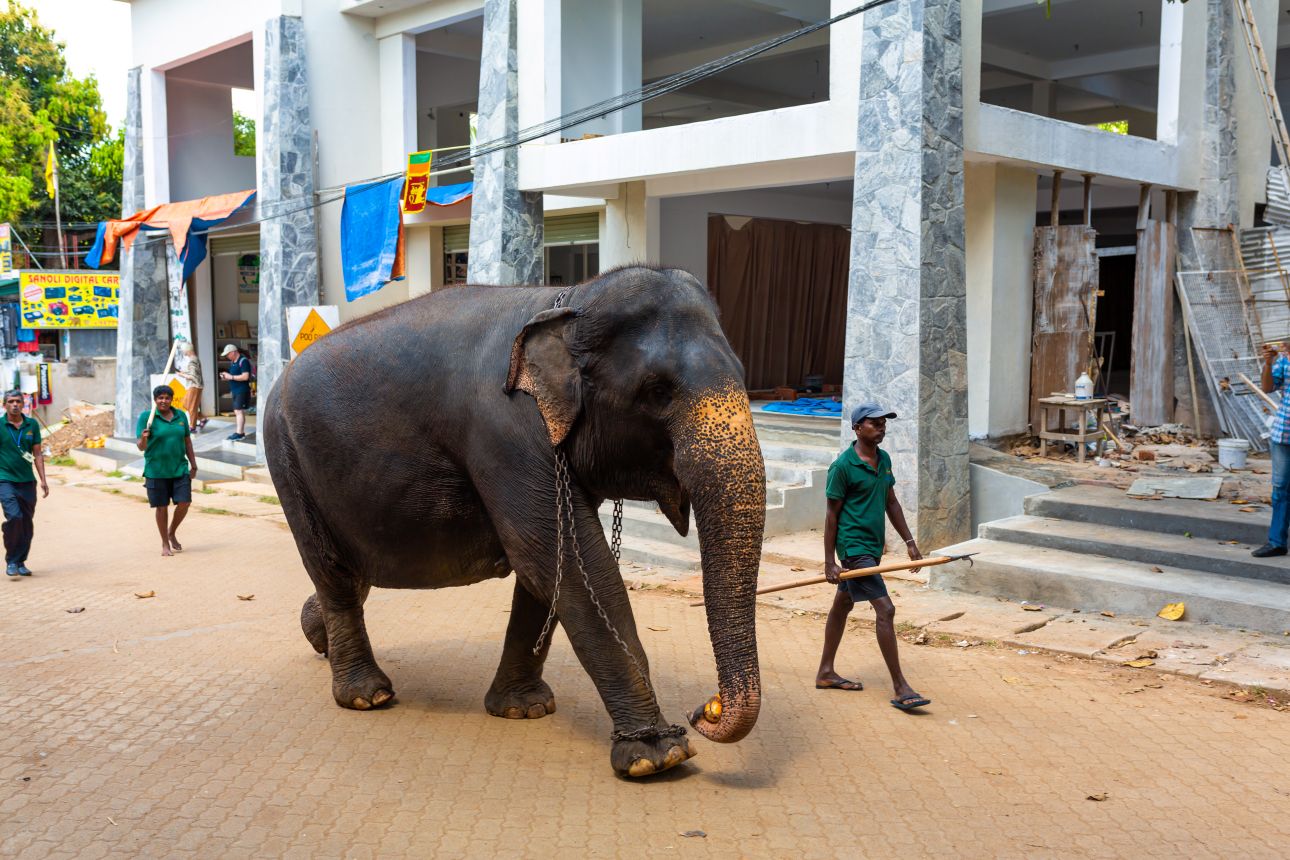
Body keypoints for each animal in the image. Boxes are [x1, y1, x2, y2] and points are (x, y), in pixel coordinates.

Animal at [262, 265, 766, 778]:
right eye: (658, 391)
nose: (704, 710)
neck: (568, 300)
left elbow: (550, 570)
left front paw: (524, 709)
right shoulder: (507, 429)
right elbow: (562, 560)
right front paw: (658, 756)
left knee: (351, 573)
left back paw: (319, 640)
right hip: (286, 459)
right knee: (333, 573)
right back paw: (367, 696)